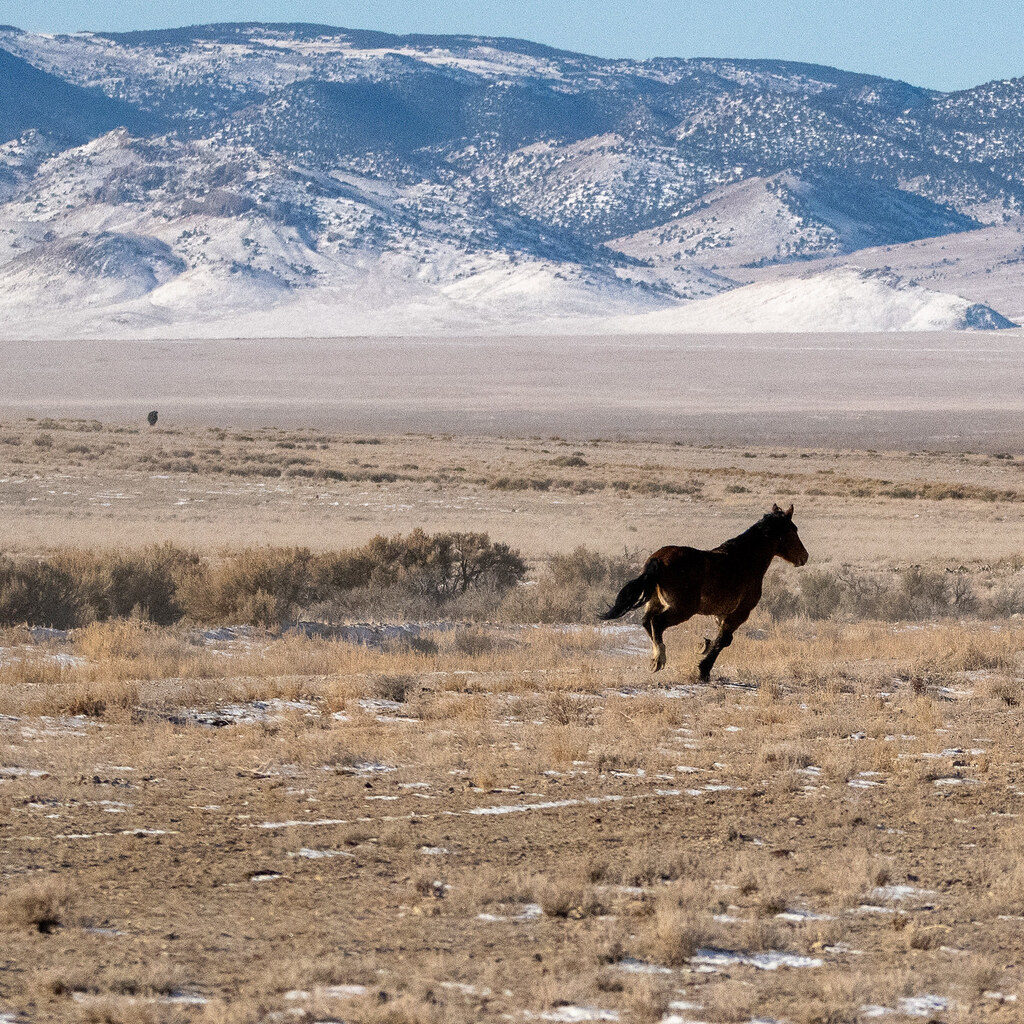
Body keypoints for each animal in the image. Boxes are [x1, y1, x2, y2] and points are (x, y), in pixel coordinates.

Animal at [600, 504, 808, 681]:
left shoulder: (722, 613)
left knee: (646, 622)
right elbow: (723, 640)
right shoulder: (740, 613)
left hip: (656, 603)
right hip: (682, 609)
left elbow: (723, 639)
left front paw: (703, 646)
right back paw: (660, 660)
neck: (744, 560)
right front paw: (703, 670)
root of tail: (657, 560)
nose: (804, 557)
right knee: (657, 623)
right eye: (794, 531)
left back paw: (654, 659)